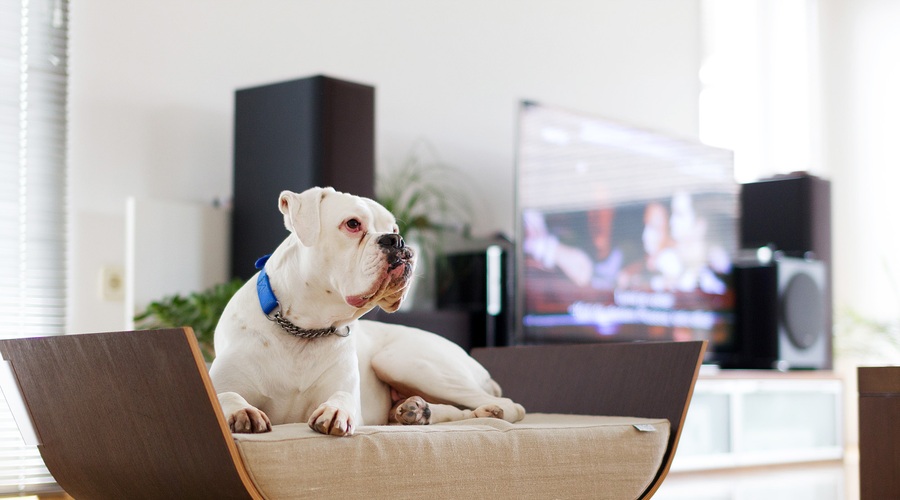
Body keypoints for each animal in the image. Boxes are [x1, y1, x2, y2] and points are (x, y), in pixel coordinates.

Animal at [207, 186, 524, 436]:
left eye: (395, 230)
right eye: (352, 224)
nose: (397, 241)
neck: (305, 330)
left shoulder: (344, 390)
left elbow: (342, 397)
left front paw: (336, 410)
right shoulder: (220, 383)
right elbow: (225, 394)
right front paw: (241, 411)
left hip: (400, 360)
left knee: (510, 406)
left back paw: (481, 411)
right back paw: (417, 411)